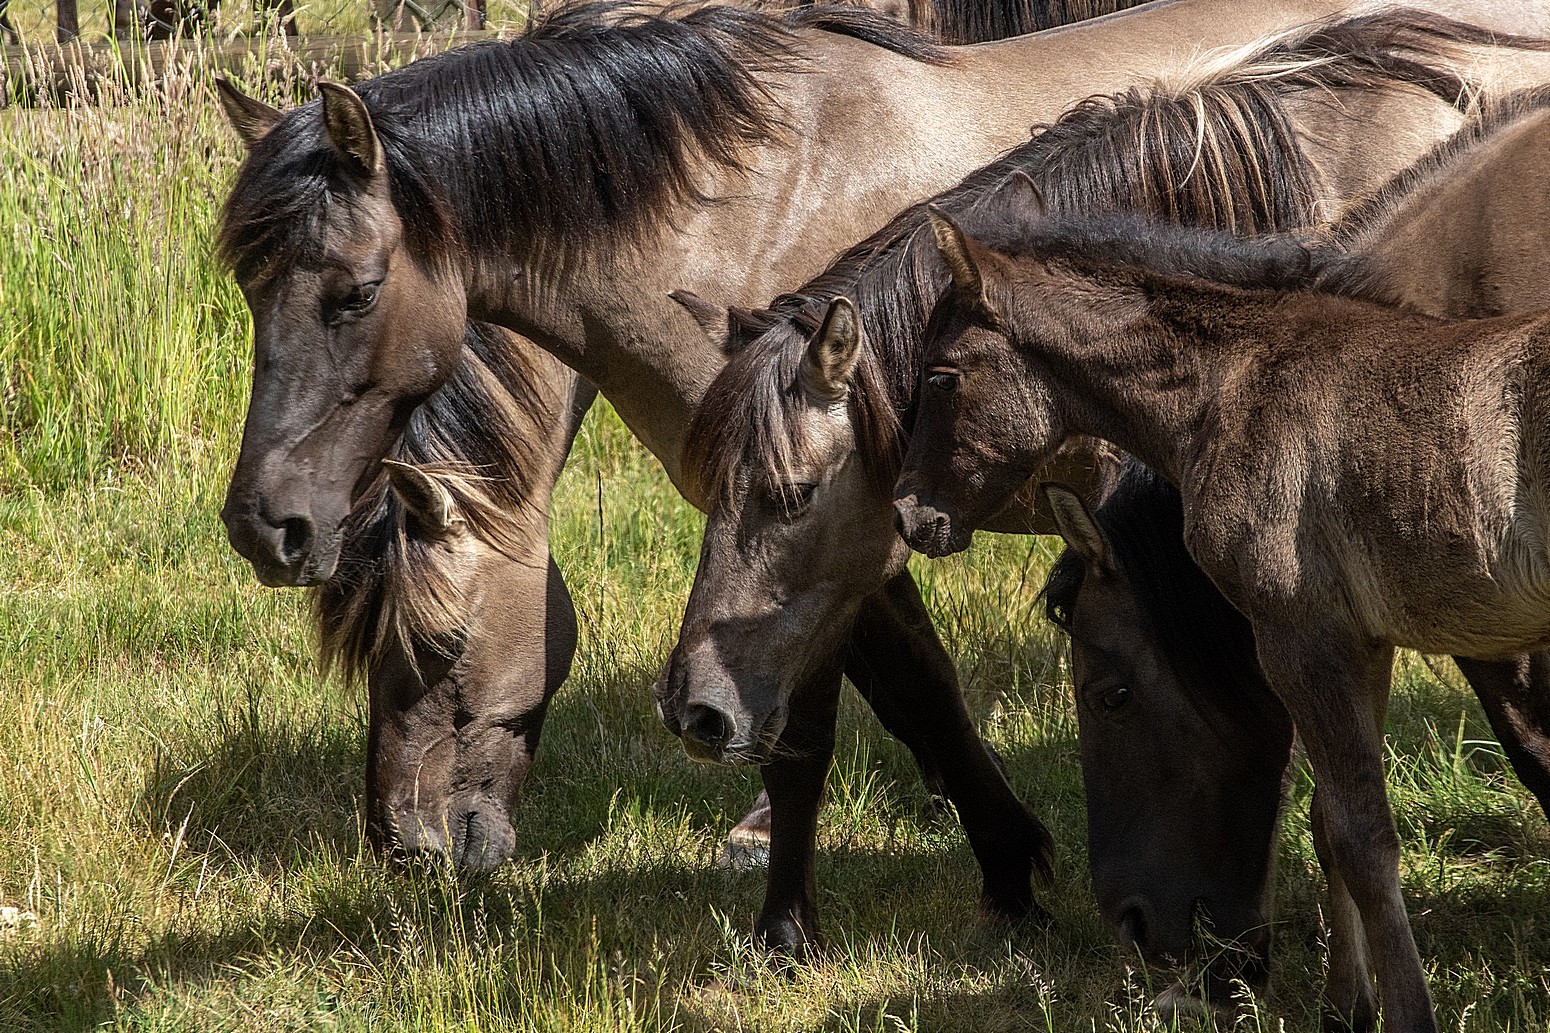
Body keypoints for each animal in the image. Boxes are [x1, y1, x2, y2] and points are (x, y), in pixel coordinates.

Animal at [892, 172, 1550, 1023]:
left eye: (941, 375)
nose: (911, 514)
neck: (1235, 383)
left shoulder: (1298, 634)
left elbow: (1362, 835)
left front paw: (1403, 1012)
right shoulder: (1361, 641)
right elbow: (1332, 824)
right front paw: (1345, 1004)